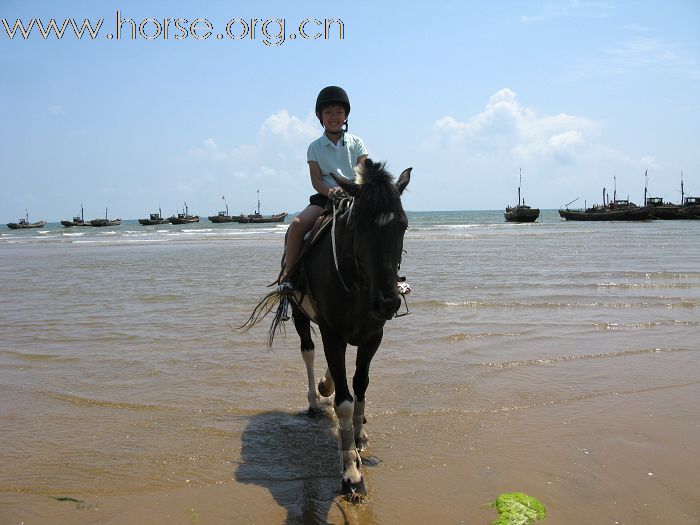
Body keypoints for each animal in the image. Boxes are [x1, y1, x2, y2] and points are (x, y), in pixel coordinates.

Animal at [246, 159, 410, 496]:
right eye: (359, 226)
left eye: (402, 225)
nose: (388, 302)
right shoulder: (332, 335)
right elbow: (344, 402)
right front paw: (351, 472)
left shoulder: (373, 336)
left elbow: (360, 385)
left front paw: (359, 435)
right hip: (299, 314)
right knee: (308, 352)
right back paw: (313, 399)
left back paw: (326, 385)